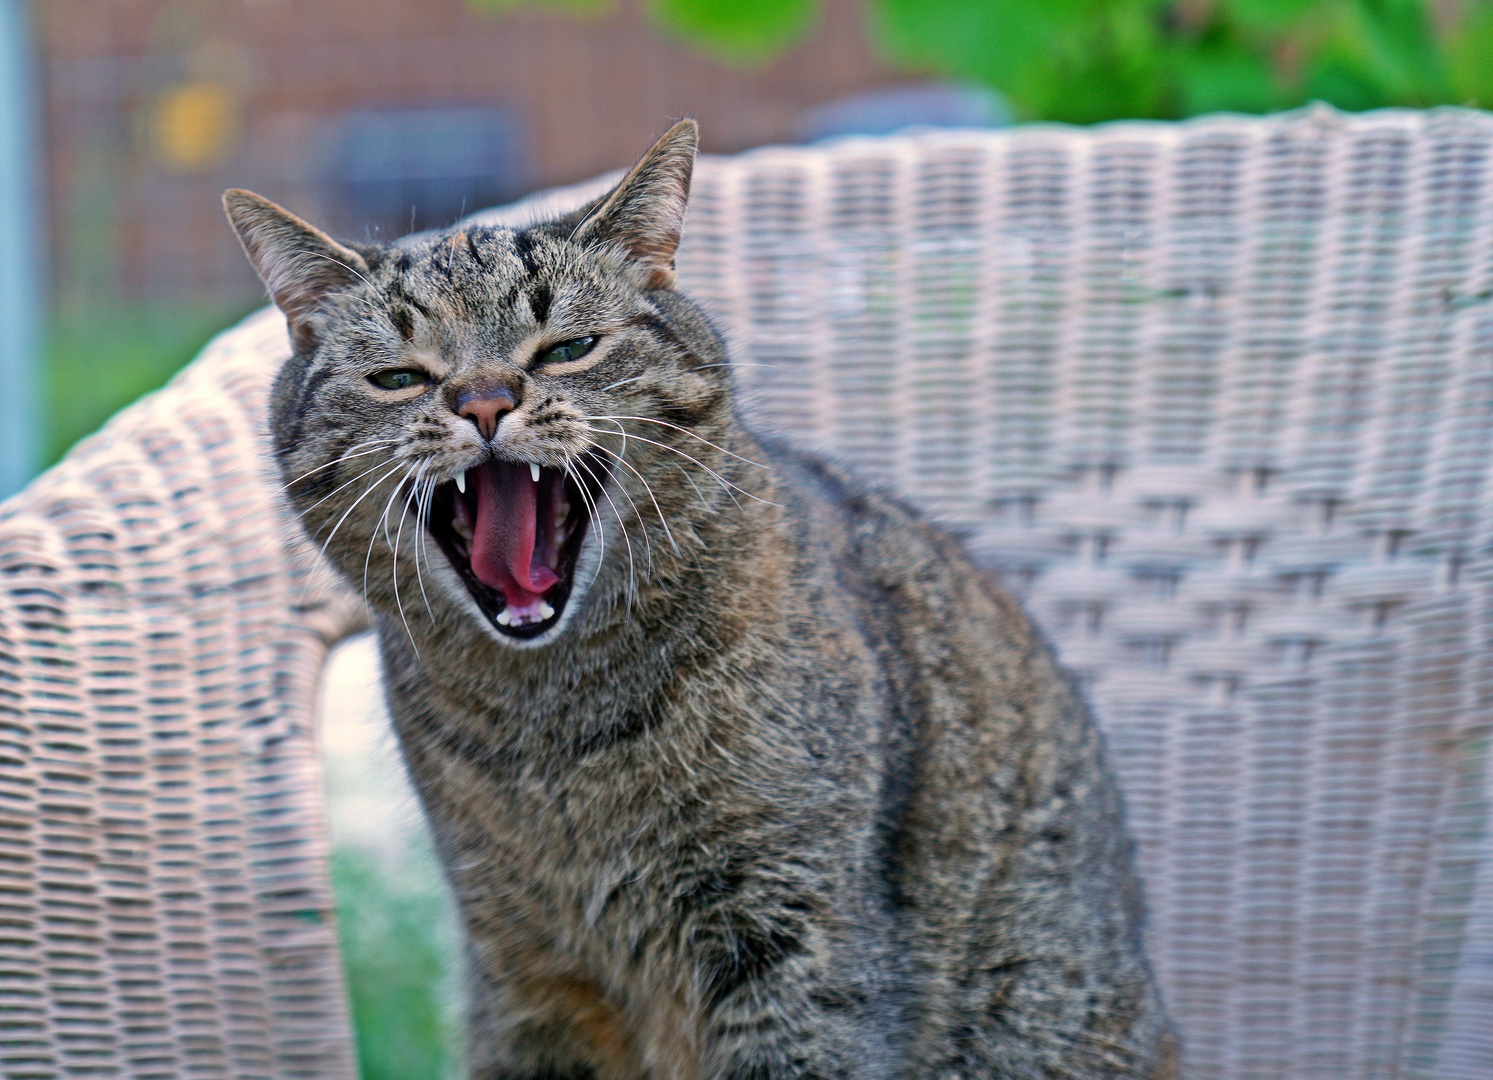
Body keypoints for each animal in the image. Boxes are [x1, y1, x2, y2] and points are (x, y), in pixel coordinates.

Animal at [223, 120, 1176, 1080]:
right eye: (399, 378)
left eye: (565, 348)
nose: (483, 400)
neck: (555, 725)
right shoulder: (523, 967)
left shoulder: (791, 941)